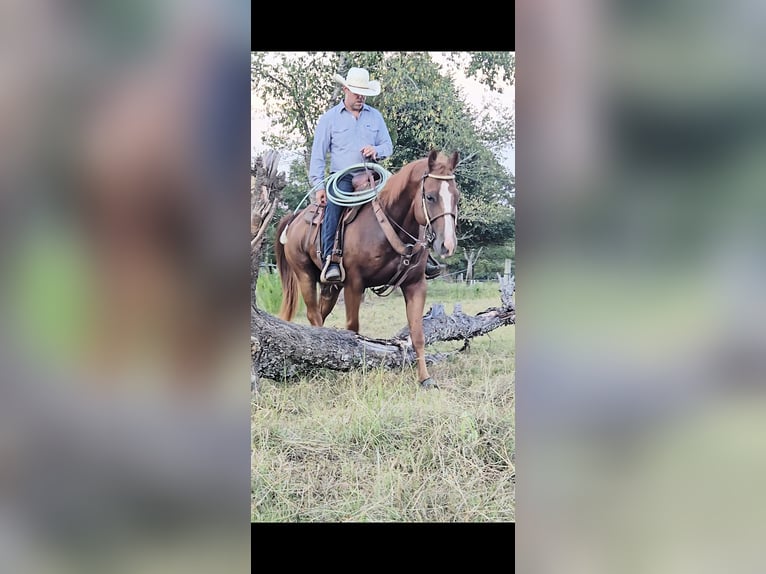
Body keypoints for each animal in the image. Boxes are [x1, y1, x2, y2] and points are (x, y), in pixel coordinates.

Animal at [274, 149, 460, 389]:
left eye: (457, 197)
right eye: (430, 196)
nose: (448, 245)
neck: (388, 225)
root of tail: (295, 218)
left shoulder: (415, 284)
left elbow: (417, 334)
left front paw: (425, 379)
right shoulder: (354, 284)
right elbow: (353, 331)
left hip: (331, 287)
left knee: (321, 318)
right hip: (304, 276)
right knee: (313, 315)